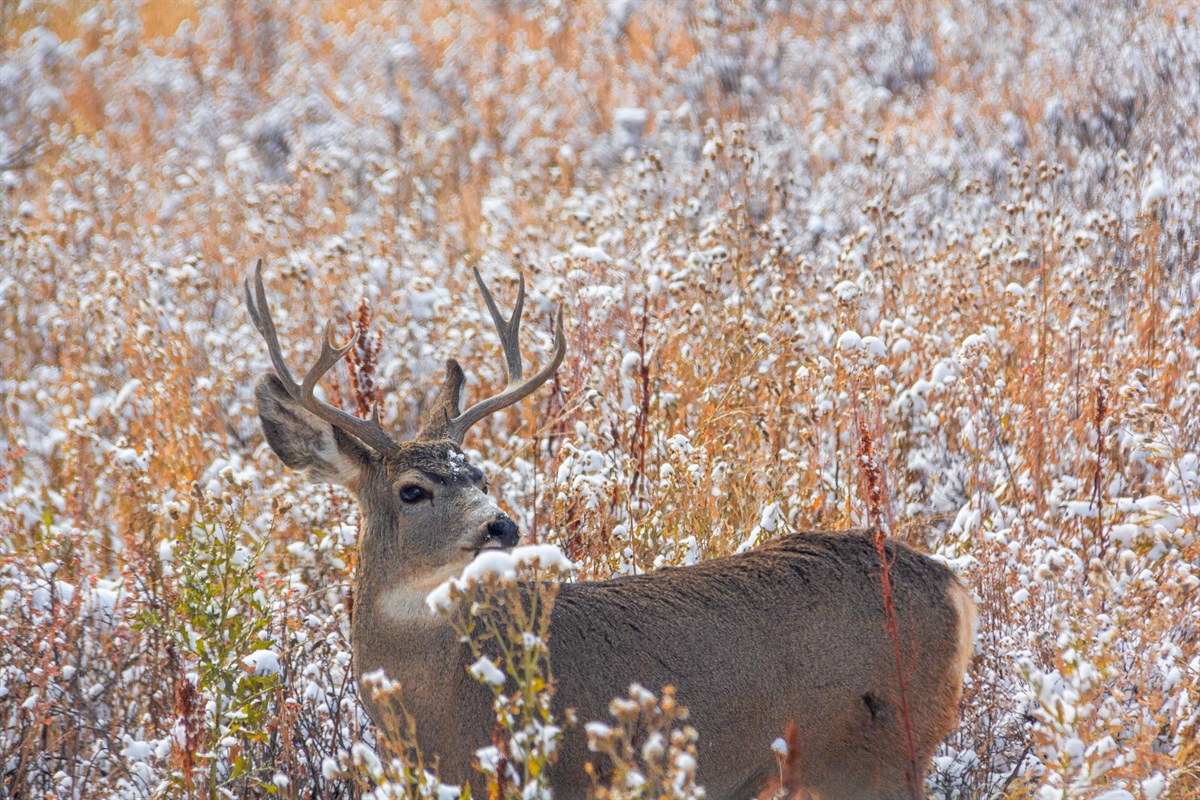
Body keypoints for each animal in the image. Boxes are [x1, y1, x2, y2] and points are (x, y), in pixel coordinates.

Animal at [244, 260, 977, 800]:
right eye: (413, 490)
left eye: (480, 474)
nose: (500, 525)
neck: (445, 703)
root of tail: (954, 587)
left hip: (874, 748)